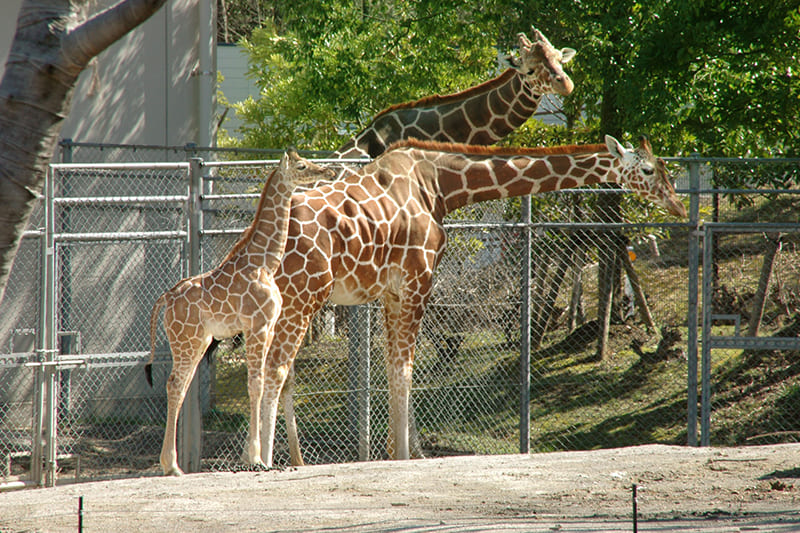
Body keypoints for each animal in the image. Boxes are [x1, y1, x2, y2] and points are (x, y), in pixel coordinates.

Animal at [145, 150, 336, 474]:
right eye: (301, 166)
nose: (329, 171)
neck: (265, 261)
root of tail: (164, 300)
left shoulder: (269, 326)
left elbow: (264, 380)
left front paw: (255, 457)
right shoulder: (256, 326)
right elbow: (256, 385)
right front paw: (257, 458)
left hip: (198, 341)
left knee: (180, 387)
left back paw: (173, 464)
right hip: (186, 340)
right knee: (174, 384)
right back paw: (171, 466)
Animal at [262, 135, 688, 468]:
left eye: (664, 167)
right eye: (648, 170)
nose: (679, 206)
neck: (439, 185)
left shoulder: (391, 291)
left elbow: (392, 368)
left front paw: (396, 451)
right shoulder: (418, 280)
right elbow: (404, 370)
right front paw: (403, 456)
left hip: (284, 301)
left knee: (279, 370)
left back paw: (289, 460)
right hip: (302, 294)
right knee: (276, 369)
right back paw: (263, 460)